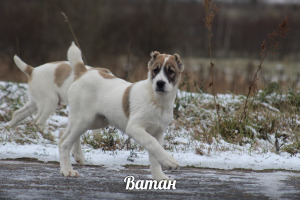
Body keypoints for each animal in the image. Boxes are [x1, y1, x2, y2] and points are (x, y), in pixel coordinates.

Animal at [59, 43, 183, 180]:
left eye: (170, 71)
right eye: (155, 70)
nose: (160, 83)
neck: (158, 101)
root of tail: (84, 72)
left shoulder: (158, 132)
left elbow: (154, 155)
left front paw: (159, 177)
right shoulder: (134, 128)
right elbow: (152, 142)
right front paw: (169, 161)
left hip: (95, 121)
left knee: (65, 133)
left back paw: (77, 155)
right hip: (84, 119)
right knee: (64, 142)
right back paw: (67, 170)